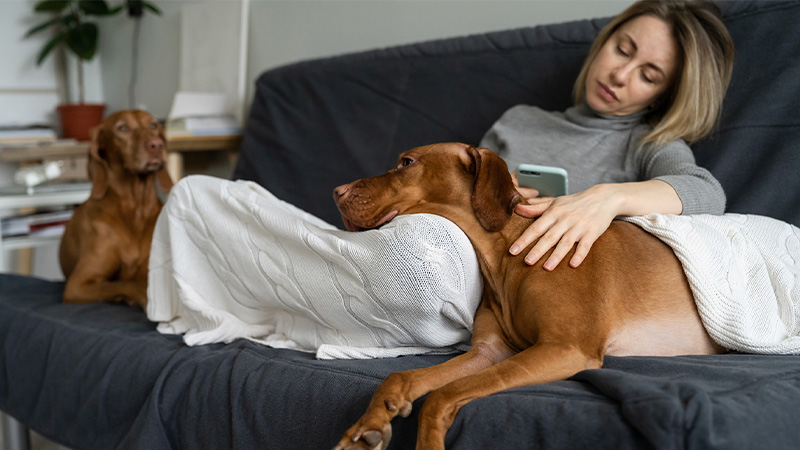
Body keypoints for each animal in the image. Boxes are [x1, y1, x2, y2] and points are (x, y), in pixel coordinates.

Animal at [58, 110, 174, 308]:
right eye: (123, 128)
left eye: (153, 125)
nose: (157, 145)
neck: (135, 210)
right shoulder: (77, 285)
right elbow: (128, 284)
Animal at [332, 143, 724, 450]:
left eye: (407, 162)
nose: (337, 191)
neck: (505, 252)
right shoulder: (489, 351)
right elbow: (402, 377)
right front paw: (369, 425)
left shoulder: (564, 348)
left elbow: (441, 395)